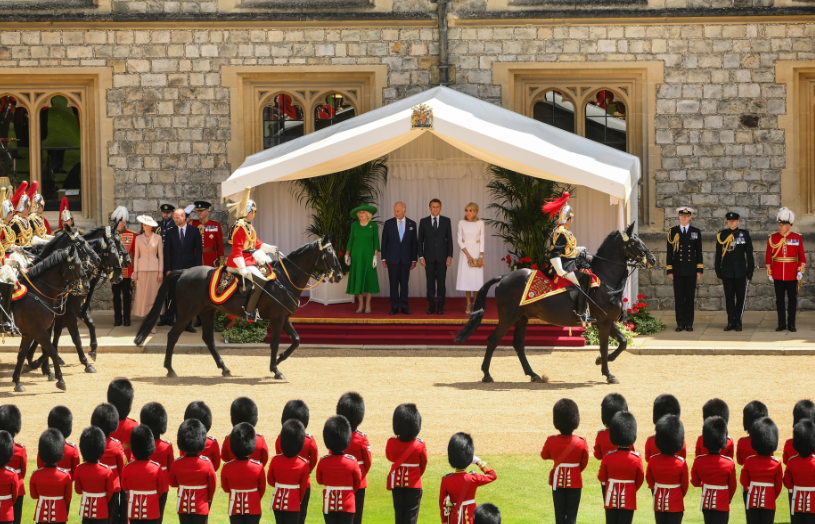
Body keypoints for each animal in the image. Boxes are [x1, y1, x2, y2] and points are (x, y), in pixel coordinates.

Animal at [10, 229, 89, 392]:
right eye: (76, 264)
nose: (86, 285)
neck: (39, 291)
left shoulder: (30, 331)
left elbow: (23, 353)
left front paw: (19, 380)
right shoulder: (41, 327)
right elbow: (53, 348)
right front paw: (60, 379)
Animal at [23, 226, 126, 377]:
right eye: (112, 253)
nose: (119, 277)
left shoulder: (73, 308)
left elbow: (89, 323)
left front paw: (93, 350)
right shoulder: (67, 311)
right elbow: (74, 337)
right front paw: (85, 363)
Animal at [134, 235, 342, 379]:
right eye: (330, 253)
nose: (340, 275)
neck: (285, 279)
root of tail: (185, 271)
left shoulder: (284, 317)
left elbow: (296, 340)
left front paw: (279, 360)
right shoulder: (277, 318)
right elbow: (275, 343)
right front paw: (275, 368)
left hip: (206, 311)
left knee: (208, 339)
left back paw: (224, 368)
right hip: (187, 313)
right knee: (173, 336)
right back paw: (170, 370)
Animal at [454, 223, 655, 384]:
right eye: (635, 242)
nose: (652, 260)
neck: (606, 278)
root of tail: (503, 277)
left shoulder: (605, 320)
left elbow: (623, 343)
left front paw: (600, 362)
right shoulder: (604, 321)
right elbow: (605, 347)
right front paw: (608, 374)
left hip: (522, 318)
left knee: (518, 344)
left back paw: (533, 374)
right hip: (508, 317)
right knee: (493, 340)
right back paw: (487, 374)